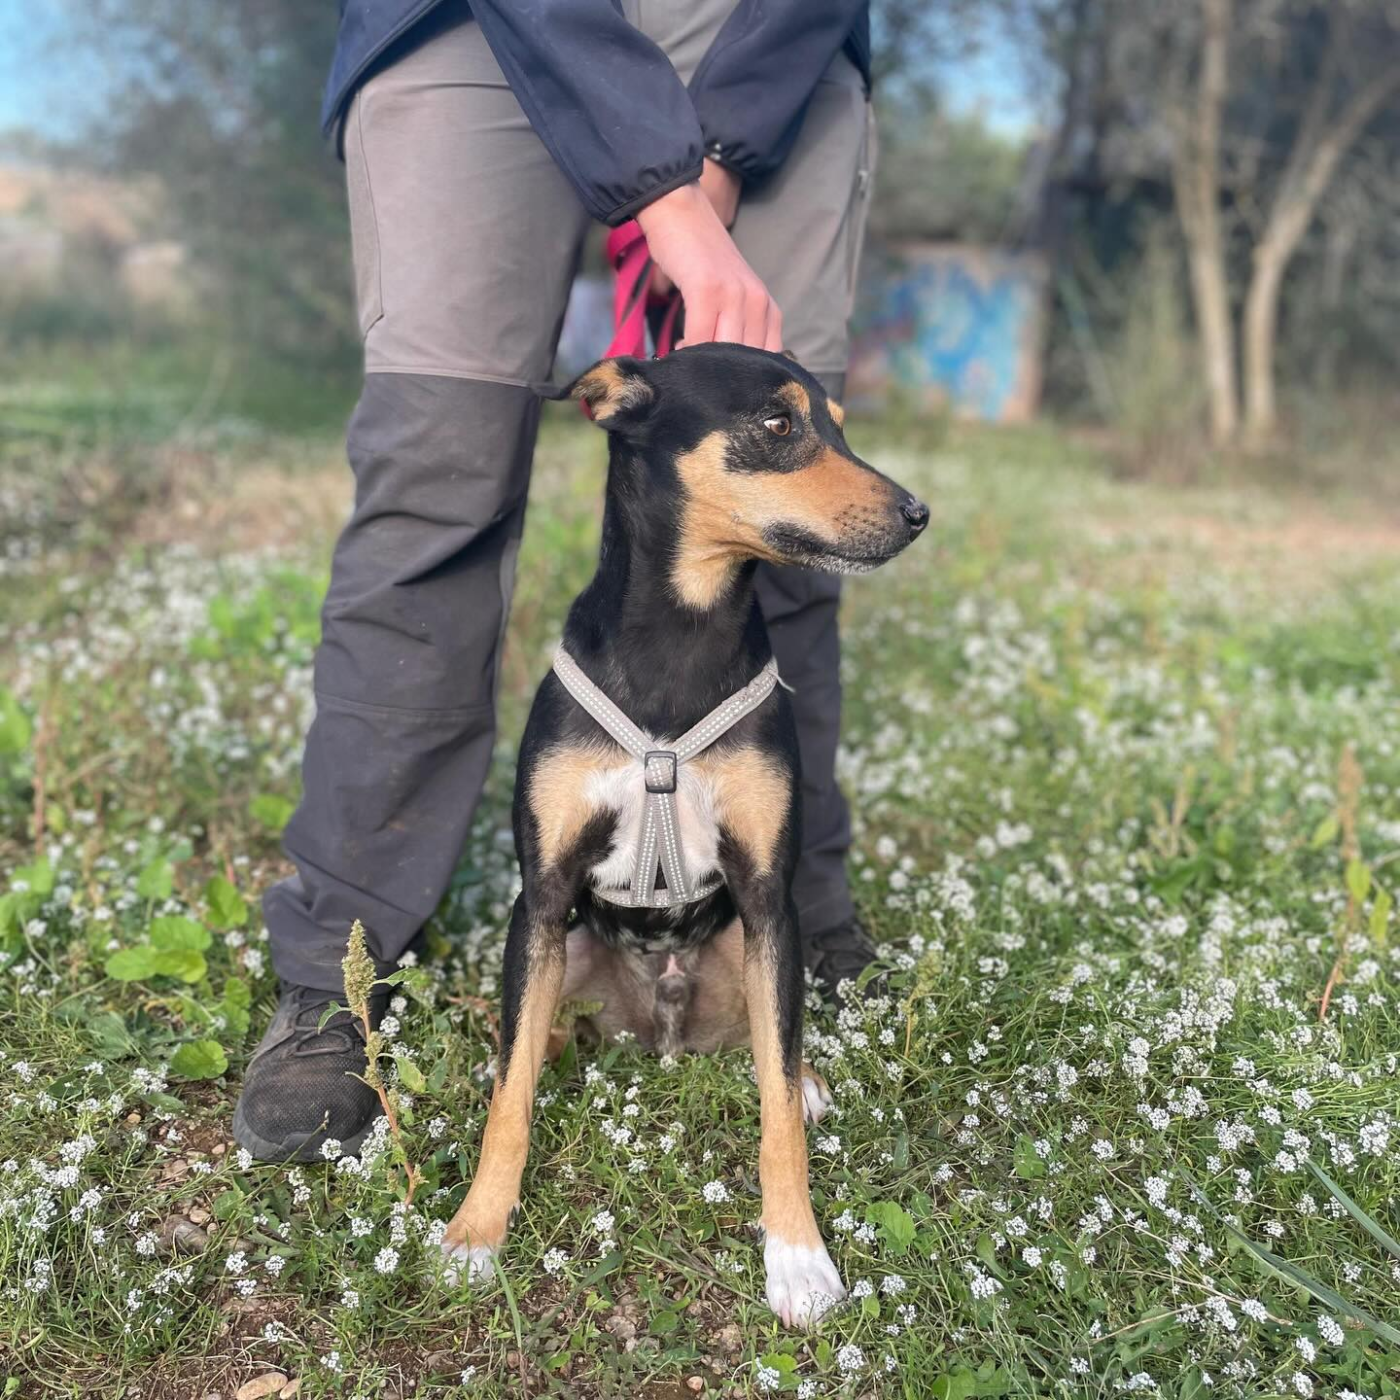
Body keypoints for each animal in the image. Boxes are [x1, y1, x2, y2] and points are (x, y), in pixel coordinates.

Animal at [441, 344, 928, 1326]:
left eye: (840, 425)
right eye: (779, 424)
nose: (917, 514)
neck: (683, 631)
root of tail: (661, 1031)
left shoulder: (770, 899)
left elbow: (774, 1102)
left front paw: (798, 1258)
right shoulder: (542, 897)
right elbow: (511, 1100)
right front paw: (477, 1232)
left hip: (755, 946)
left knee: (776, 1047)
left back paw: (806, 1080)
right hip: (559, 951)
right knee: (530, 1044)